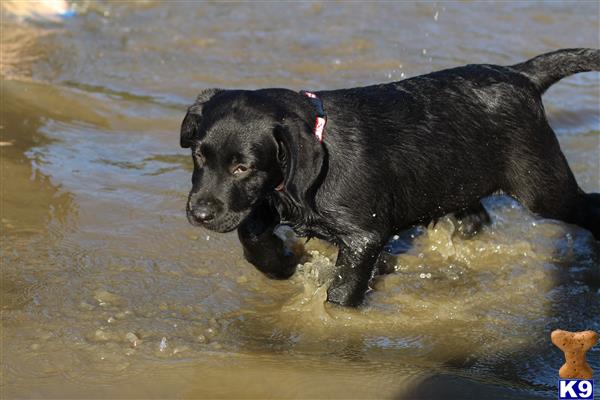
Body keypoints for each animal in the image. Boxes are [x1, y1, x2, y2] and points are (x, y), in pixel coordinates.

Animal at [180, 49, 600, 306]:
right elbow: (250, 231)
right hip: (455, 181)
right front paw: (278, 263)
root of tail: (521, 75)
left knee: (589, 205)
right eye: (199, 155)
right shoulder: (277, 196)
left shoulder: (364, 235)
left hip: (540, 185)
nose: (198, 214)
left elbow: (343, 290)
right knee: (476, 217)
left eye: (243, 167)